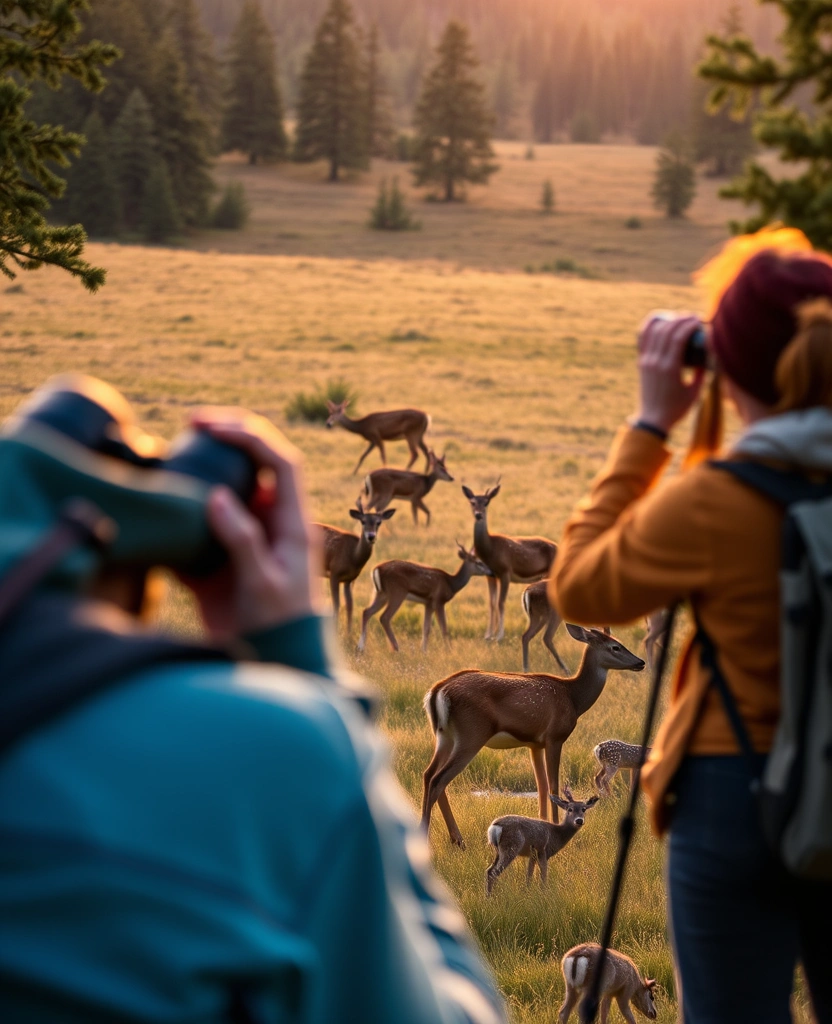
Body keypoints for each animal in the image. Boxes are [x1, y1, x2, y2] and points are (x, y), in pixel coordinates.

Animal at [317, 497, 395, 630]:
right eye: (363, 521)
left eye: (379, 522)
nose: (371, 536)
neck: (353, 556)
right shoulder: (334, 573)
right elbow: (336, 605)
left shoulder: (350, 579)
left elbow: (350, 607)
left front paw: (349, 633)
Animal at [356, 548, 493, 651]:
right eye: (479, 562)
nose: (491, 572)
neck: (451, 584)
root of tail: (377, 569)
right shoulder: (439, 601)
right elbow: (444, 628)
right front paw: (449, 651)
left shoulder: (428, 604)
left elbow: (426, 628)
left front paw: (423, 651)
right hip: (397, 592)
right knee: (384, 617)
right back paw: (396, 647)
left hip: (381, 594)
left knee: (366, 611)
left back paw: (361, 647)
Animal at [420, 622, 647, 847]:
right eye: (615, 646)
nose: (641, 662)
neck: (573, 698)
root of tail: (438, 691)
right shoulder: (555, 737)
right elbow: (553, 785)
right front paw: (556, 827)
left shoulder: (534, 744)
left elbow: (542, 785)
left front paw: (542, 824)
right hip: (471, 735)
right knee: (439, 779)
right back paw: (439, 837)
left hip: (444, 737)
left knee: (429, 774)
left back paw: (454, 839)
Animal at [465, 481, 557, 638]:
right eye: (472, 502)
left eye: (487, 501)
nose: (478, 515)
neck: (490, 547)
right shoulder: (490, 576)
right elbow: (492, 603)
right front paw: (488, 635)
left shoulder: (505, 574)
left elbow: (501, 603)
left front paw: (499, 636)